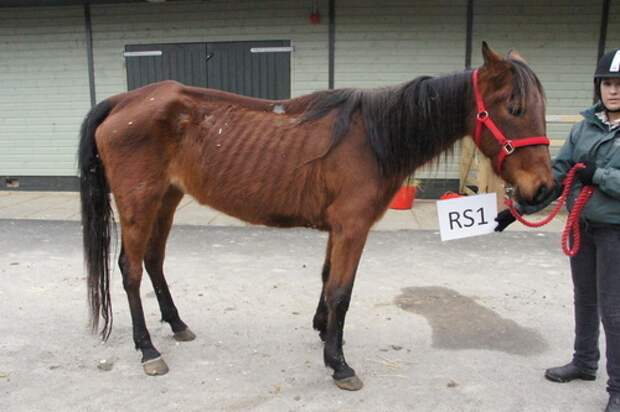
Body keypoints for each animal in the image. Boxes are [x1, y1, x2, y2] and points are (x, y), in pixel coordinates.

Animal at [78, 43, 556, 392]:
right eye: (514, 107)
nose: (544, 188)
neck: (374, 138)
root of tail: (123, 101)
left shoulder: (337, 230)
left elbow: (328, 280)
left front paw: (322, 330)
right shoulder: (352, 228)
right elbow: (342, 290)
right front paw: (338, 363)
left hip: (167, 199)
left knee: (154, 261)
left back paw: (177, 325)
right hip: (139, 202)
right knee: (130, 269)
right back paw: (147, 350)